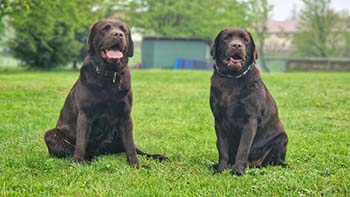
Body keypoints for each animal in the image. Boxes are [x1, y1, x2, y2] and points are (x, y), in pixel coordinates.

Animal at [43, 19, 167, 165]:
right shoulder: (85, 114)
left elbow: (130, 144)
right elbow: (81, 142)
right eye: (105, 29)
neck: (109, 74)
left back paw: (157, 156)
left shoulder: (125, 115)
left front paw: (136, 164)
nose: (118, 34)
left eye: (123, 30)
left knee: (135, 149)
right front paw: (78, 161)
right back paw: (87, 159)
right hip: (51, 134)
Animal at [209, 27, 288, 175]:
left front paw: (238, 171)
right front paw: (221, 169)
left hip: (281, 138)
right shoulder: (219, 122)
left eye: (245, 40)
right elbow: (223, 149)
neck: (232, 80)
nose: (237, 45)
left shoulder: (250, 121)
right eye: (226, 38)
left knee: (273, 160)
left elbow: (243, 148)